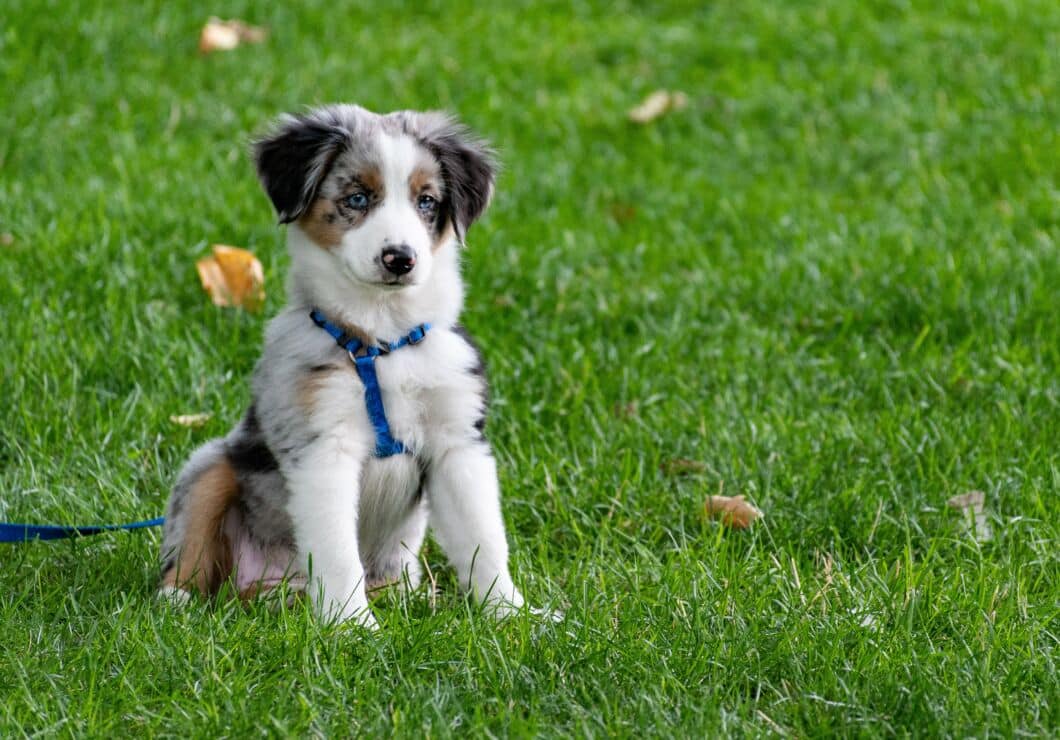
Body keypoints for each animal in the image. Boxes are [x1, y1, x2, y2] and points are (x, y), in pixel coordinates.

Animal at [156, 100, 538, 623]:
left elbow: (484, 540)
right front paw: (353, 626)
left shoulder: (457, 442)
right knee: (191, 543)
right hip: (211, 465)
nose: (400, 259)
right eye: (357, 198)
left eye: (427, 202)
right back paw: (177, 601)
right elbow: (337, 551)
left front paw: (513, 615)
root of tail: (268, 589)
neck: (383, 339)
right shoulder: (323, 447)